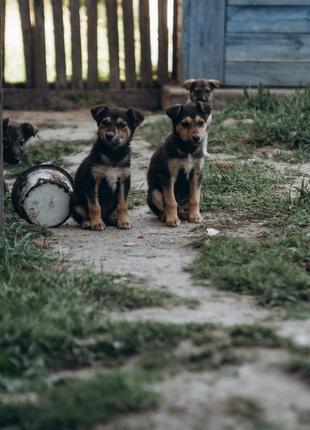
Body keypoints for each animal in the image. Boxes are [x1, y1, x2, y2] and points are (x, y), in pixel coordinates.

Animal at [70, 104, 144, 232]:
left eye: (122, 125)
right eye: (104, 122)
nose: (109, 136)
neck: (112, 154)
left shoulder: (124, 180)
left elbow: (122, 205)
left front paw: (124, 222)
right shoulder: (92, 181)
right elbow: (94, 206)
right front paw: (97, 223)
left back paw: (114, 220)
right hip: (75, 200)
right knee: (80, 216)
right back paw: (88, 222)